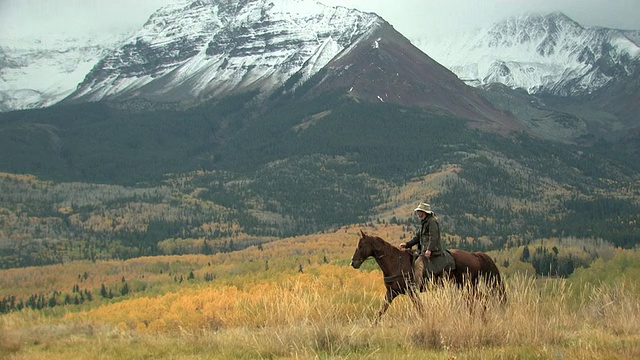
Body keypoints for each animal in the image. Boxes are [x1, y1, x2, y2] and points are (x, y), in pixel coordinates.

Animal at [350, 231, 504, 324]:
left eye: (361, 245)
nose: (353, 263)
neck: (395, 262)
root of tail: (474, 255)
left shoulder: (412, 291)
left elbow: (420, 309)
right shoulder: (391, 292)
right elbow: (381, 310)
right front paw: (373, 325)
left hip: (469, 286)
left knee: (481, 298)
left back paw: (482, 318)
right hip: (465, 287)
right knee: (474, 300)